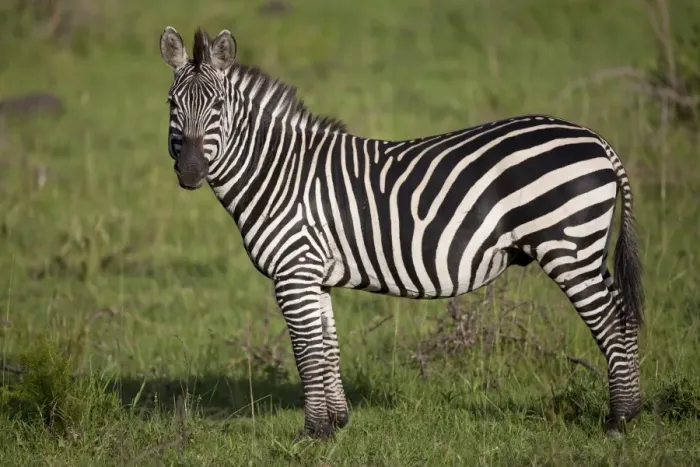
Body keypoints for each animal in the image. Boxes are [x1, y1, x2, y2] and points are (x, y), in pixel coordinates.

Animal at [159, 26, 645, 440]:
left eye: (218, 108)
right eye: (171, 105)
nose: (190, 173)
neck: (280, 173)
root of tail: (597, 141)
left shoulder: (294, 271)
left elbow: (306, 350)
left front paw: (312, 432)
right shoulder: (315, 273)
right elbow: (328, 346)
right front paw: (337, 423)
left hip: (568, 247)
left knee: (610, 320)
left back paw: (618, 421)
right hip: (587, 248)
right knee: (625, 315)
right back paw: (633, 411)